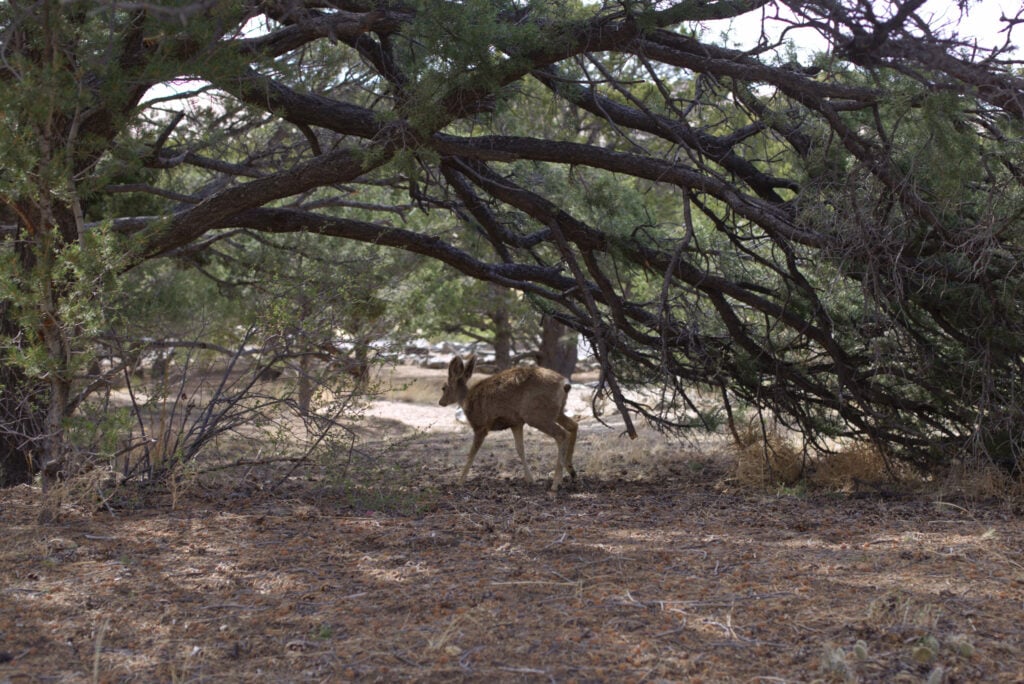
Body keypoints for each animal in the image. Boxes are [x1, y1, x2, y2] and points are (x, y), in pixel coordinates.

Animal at [439, 355, 579, 492]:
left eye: (444, 387)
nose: (441, 402)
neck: (466, 402)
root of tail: (564, 384)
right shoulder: (515, 423)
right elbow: (520, 449)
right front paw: (530, 479)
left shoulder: (480, 425)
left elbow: (471, 454)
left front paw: (460, 481)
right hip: (556, 412)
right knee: (573, 425)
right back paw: (571, 471)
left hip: (536, 415)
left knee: (561, 434)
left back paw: (556, 483)